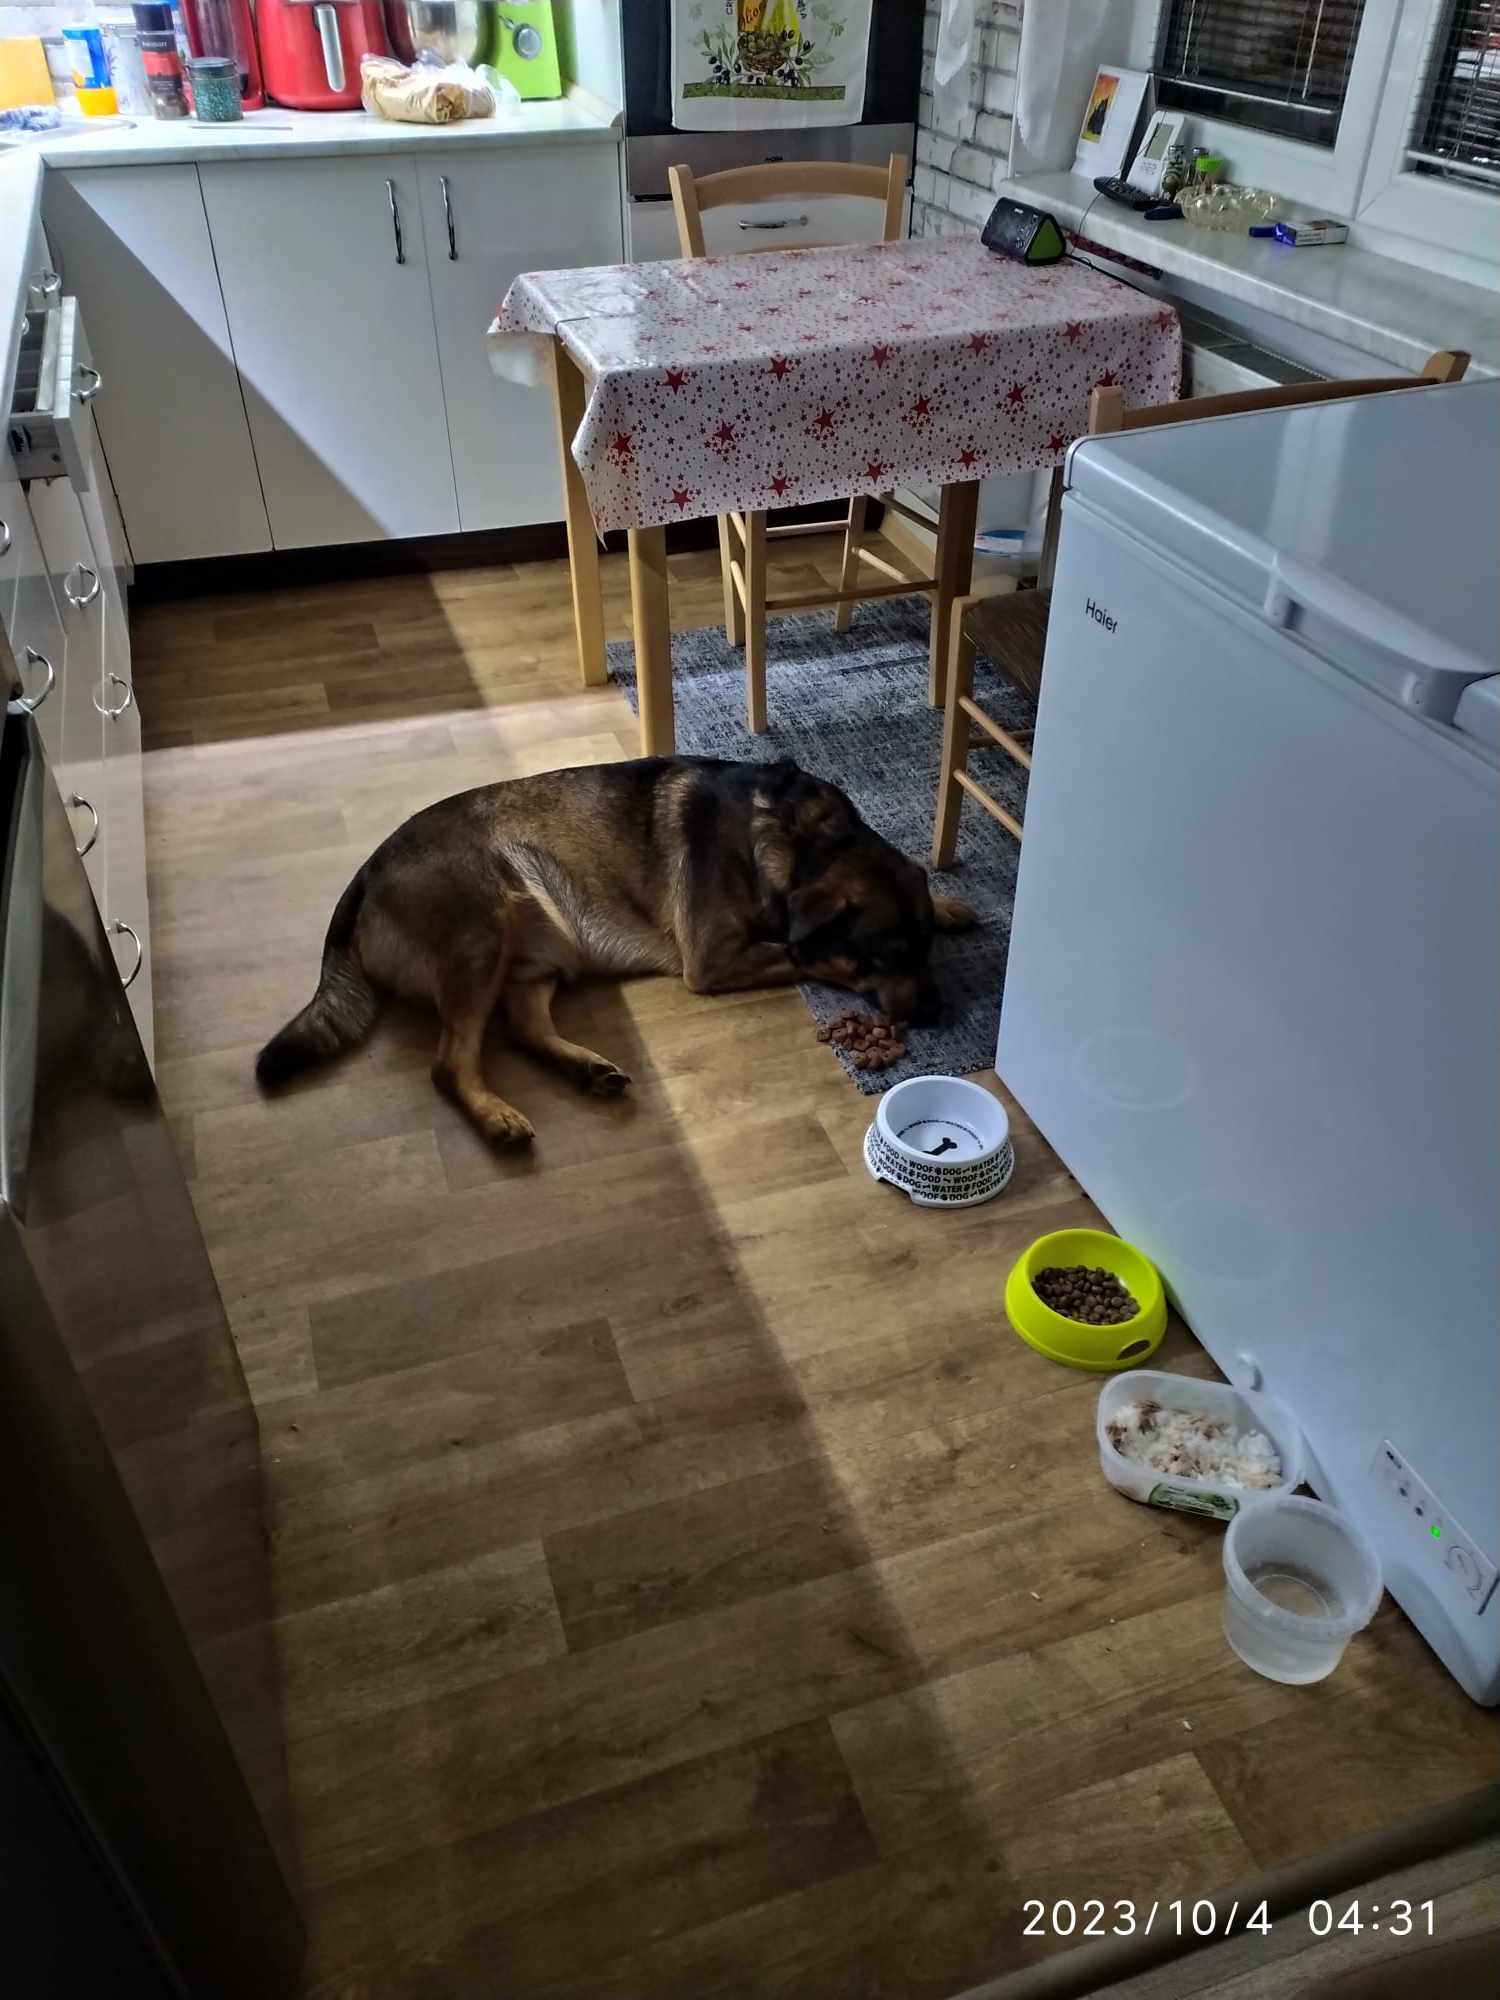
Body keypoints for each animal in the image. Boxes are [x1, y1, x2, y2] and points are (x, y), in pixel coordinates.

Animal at [256, 757, 975, 1145]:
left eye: (923, 950)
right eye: (883, 956)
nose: (941, 1013)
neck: (807, 841)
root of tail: (367, 870)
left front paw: (948, 904)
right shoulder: (715, 958)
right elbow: (812, 953)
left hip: (532, 956)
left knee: (522, 1028)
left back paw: (585, 1069)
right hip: (480, 932)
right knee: (449, 1064)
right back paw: (496, 1117)